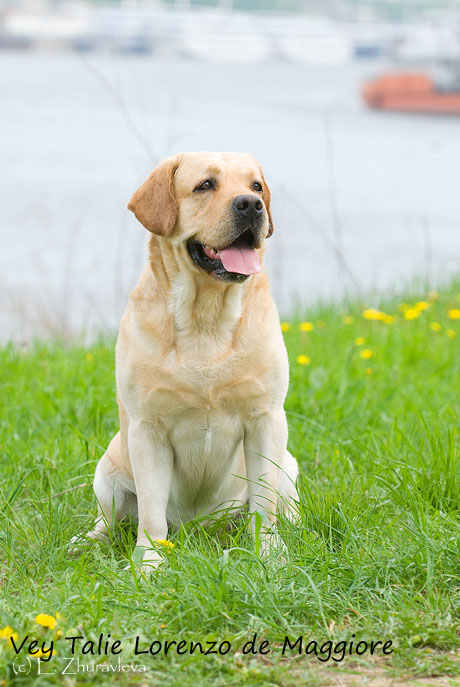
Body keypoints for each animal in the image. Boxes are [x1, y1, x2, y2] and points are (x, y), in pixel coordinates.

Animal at [76, 152, 298, 568]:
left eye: (256, 186)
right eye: (205, 185)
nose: (251, 205)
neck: (206, 318)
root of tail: (197, 527)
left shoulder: (267, 419)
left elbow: (264, 505)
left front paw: (268, 558)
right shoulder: (147, 429)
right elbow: (150, 511)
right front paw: (149, 564)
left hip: (289, 465)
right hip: (107, 469)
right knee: (109, 521)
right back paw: (85, 542)